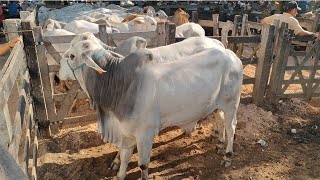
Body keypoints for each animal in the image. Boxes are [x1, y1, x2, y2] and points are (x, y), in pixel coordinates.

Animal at [59, 39, 242, 180]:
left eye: (72, 56)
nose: (59, 71)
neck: (122, 85)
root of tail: (231, 55)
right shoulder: (126, 133)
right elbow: (124, 158)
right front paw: (119, 173)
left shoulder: (145, 134)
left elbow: (143, 164)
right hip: (217, 105)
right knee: (220, 120)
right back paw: (219, 144)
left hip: (231, 104)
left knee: (231, 127)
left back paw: (227, 156)